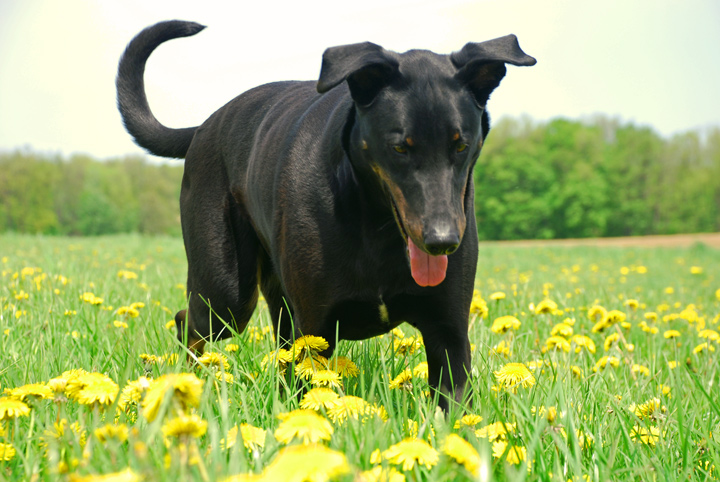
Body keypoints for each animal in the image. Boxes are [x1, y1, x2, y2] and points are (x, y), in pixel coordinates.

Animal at [118, 19, 536, 410]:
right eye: (400, 147)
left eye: (461, 144)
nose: (443, 241)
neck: (377, 226)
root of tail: (204, 125)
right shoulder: (314, 327)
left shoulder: (448, 330)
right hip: (225, 293)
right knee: (189, 324)